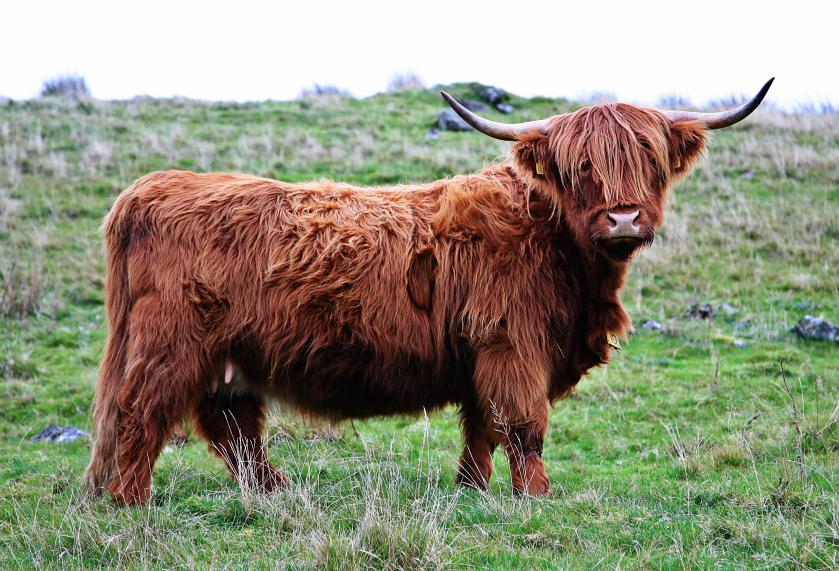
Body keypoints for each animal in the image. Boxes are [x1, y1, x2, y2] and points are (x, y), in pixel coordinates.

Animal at [83, 80, 773, 504]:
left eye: (650, 164)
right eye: (581, 168)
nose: (624, 218)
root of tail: (149, 188)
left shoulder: (484, 356)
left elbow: (482, 428)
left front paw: (473, 490)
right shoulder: (510, 344)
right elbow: (523, 425)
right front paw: (536, 496)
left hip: (229, 358)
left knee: (232, 428)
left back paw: (276, 492)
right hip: (172, 345)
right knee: (142, 413)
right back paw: (132, 502)